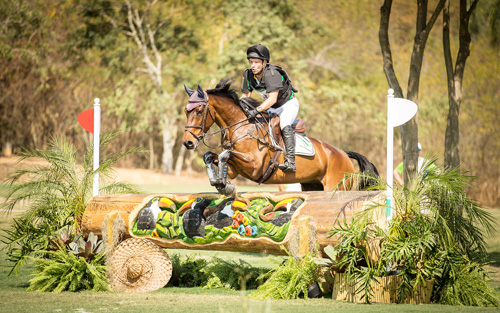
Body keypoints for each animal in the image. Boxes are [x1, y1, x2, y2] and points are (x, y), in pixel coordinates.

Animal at [182, 78, 376, 193]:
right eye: (186, 111)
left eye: (199, 111)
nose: (187, 143)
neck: (240, 128)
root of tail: (343, 154)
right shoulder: (235, 169)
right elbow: (211, 156)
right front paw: (219, 182)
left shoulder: (254, 166)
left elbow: (225, 154)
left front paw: (223, 184)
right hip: (311, 185)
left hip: (337, 187)